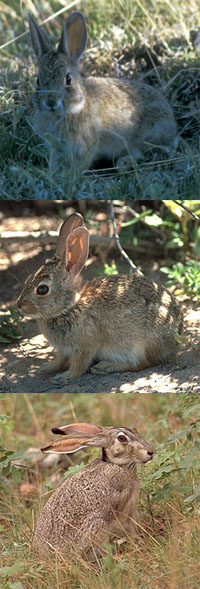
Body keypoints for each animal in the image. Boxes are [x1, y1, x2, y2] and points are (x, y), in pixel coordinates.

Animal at [16, 211, 184, 386]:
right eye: (28, 279)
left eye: (42, 289)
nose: (19, 305)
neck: (69, 307)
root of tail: (178, 331)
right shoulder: (63, 350)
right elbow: (59, 360)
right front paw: (46, 368)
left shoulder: (85, 346)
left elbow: (79, 365)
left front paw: (63, 377)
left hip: (141, 344)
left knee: (143, 363)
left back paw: (105, 367)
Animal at [27, 10, 177, 171]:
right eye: (38, 81)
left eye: (68, 79)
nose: (51, 103)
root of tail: (172, 123)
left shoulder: (84, 147)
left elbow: (79, 164)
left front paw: (70, 174)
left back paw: (123, 163)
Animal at [32, 420, 155, 552]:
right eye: (121, 438)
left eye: (135, 430)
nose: (151, 451)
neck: (117, 465)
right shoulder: (123, 508)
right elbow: (128, 528)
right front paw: (139, 543)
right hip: (97, 525)